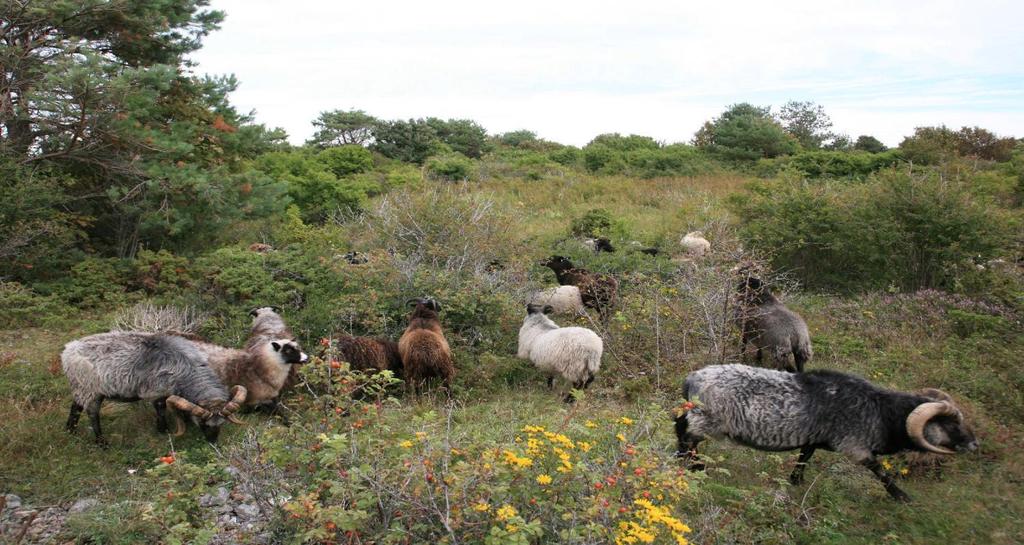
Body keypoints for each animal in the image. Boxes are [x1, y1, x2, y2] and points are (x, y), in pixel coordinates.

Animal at [64, 329, 247, 444]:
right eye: (203, 424)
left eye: (222, 423)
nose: (213, 442)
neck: (187, 367)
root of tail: (67, 351)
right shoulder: (156, 392)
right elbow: (161, 410)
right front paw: (163, 430)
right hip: (90, 390)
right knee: (92, 415)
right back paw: (102, 443)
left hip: (81, 389)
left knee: (76, 407)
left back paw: (70, 431)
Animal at [675, 364, 978, 499]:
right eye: (951, 424)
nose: (975, 444)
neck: (881, 412)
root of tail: (692, 378)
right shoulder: (855, 445)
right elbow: (878, 469)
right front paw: (900, 496)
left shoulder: (814, 437)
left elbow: (804, 456)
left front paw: (796, 481)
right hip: (706, 419)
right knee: (686, 435)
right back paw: (694, 467)